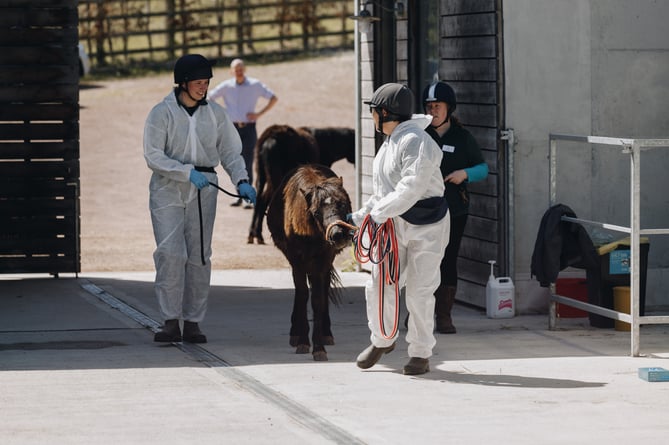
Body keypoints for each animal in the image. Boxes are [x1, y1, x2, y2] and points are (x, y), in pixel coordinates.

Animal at [264, 163, 352, 360]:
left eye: (343, 204)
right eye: (316, 212)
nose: (338, 235)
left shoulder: (322, 261)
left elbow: (318, 299)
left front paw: (319, 346)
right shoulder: (297, 261)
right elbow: (303, 294)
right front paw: (303, 340)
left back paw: (326, 333)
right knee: (300, 292)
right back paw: (295, 333)